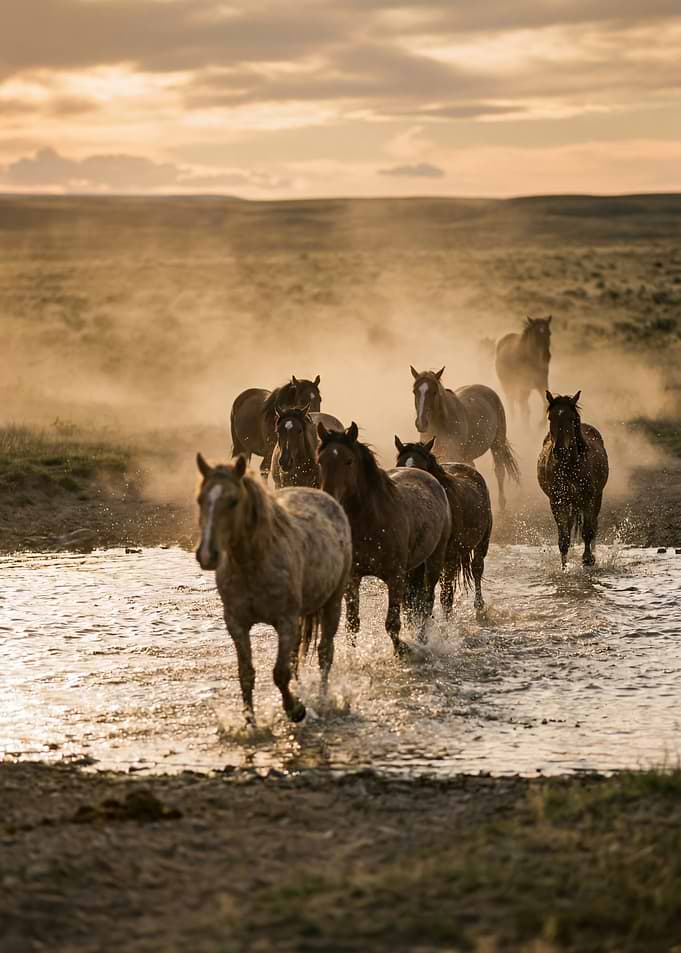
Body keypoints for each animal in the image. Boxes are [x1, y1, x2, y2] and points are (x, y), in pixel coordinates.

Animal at [195, 452, 352, 726]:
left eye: (233, 501)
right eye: (200, 500)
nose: (207, 555)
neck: (252, 564)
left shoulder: (285, 622)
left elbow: (280, 673)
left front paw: (295, 710)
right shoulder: (237, 624)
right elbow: (246, 674)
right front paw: (250, 723)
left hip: (332, 602)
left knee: (324, 653)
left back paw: (322, 700)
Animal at [317, 422, 451, 654]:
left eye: (348, 461)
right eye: (320, 461)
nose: (329, 498)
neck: (372, 520)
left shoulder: (394, 577)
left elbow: (392, 623)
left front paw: (403, 650)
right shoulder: (353, 577)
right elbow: (352, 622)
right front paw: (351, 656)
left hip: (434, 560)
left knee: (426, 602)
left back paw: (422, 638)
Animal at [395, 437, 493, 613]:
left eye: (422, 467)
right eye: (399, 464)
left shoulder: (449, 557)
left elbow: (445, 597)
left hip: (481, 542)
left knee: (477, 568)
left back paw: (479, 604)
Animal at [410, 366, 519, 510]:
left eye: (434, 392)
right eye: (414, 391)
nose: (421, 423)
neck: (441, 426)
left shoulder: (453, 456)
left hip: (497, 443)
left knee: (499, 471)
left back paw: (501, 503)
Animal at [537, 391, 609, 569]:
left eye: (571, 419)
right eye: (551, 418)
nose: (559, 451)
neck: (569, 467)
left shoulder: (589, 498)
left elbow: (588, 531)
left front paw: (588, 559)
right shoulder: (557, 501)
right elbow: (564, 537)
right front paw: (564, 567)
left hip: (595, 498)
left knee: (593, 525)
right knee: (570, 526)